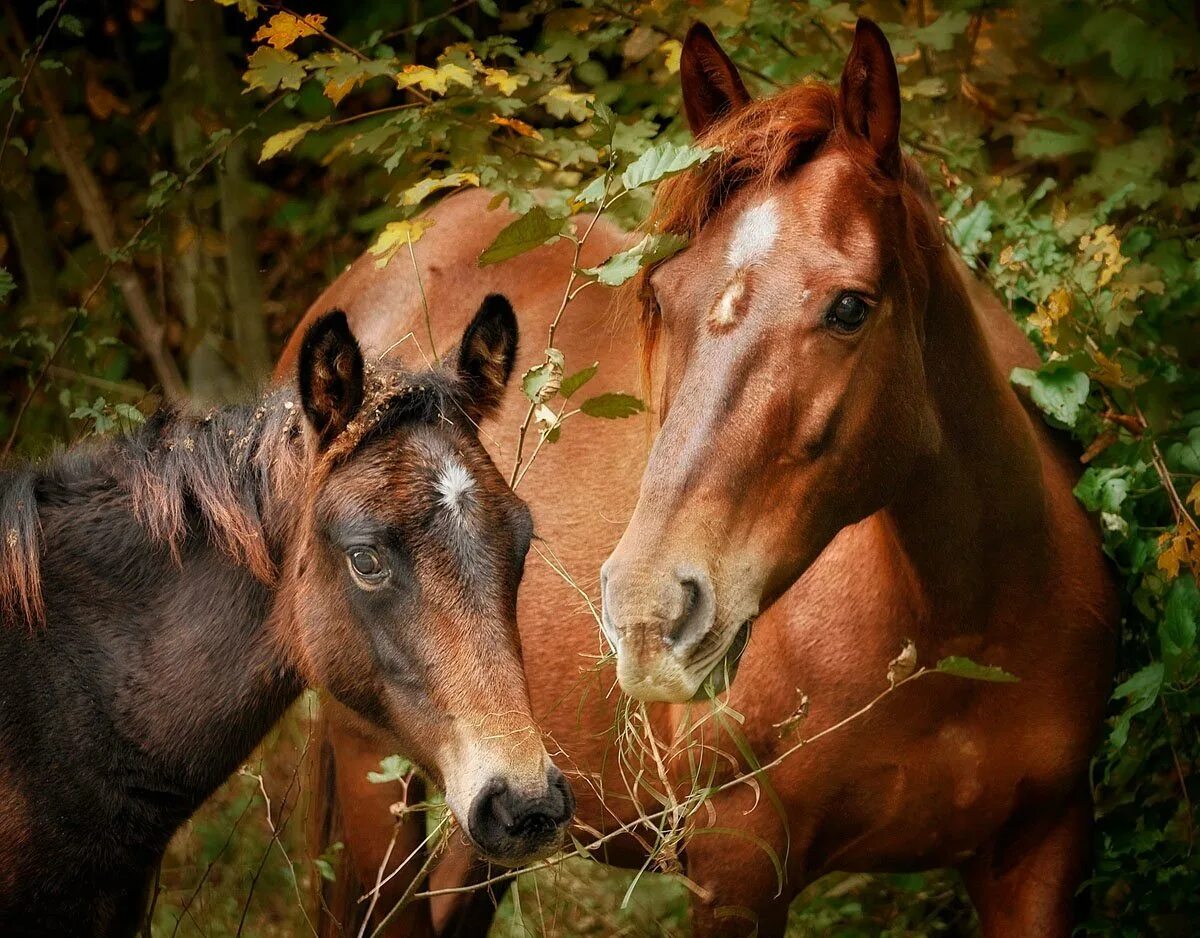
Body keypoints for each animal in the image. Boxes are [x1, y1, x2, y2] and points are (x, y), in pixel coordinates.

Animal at [288, 20, 1113, 938]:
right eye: (661, 297)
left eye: (851, 307)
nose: (648, 613)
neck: (964, 629)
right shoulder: (736, 867)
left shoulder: (1041, 853)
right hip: (379, 782)